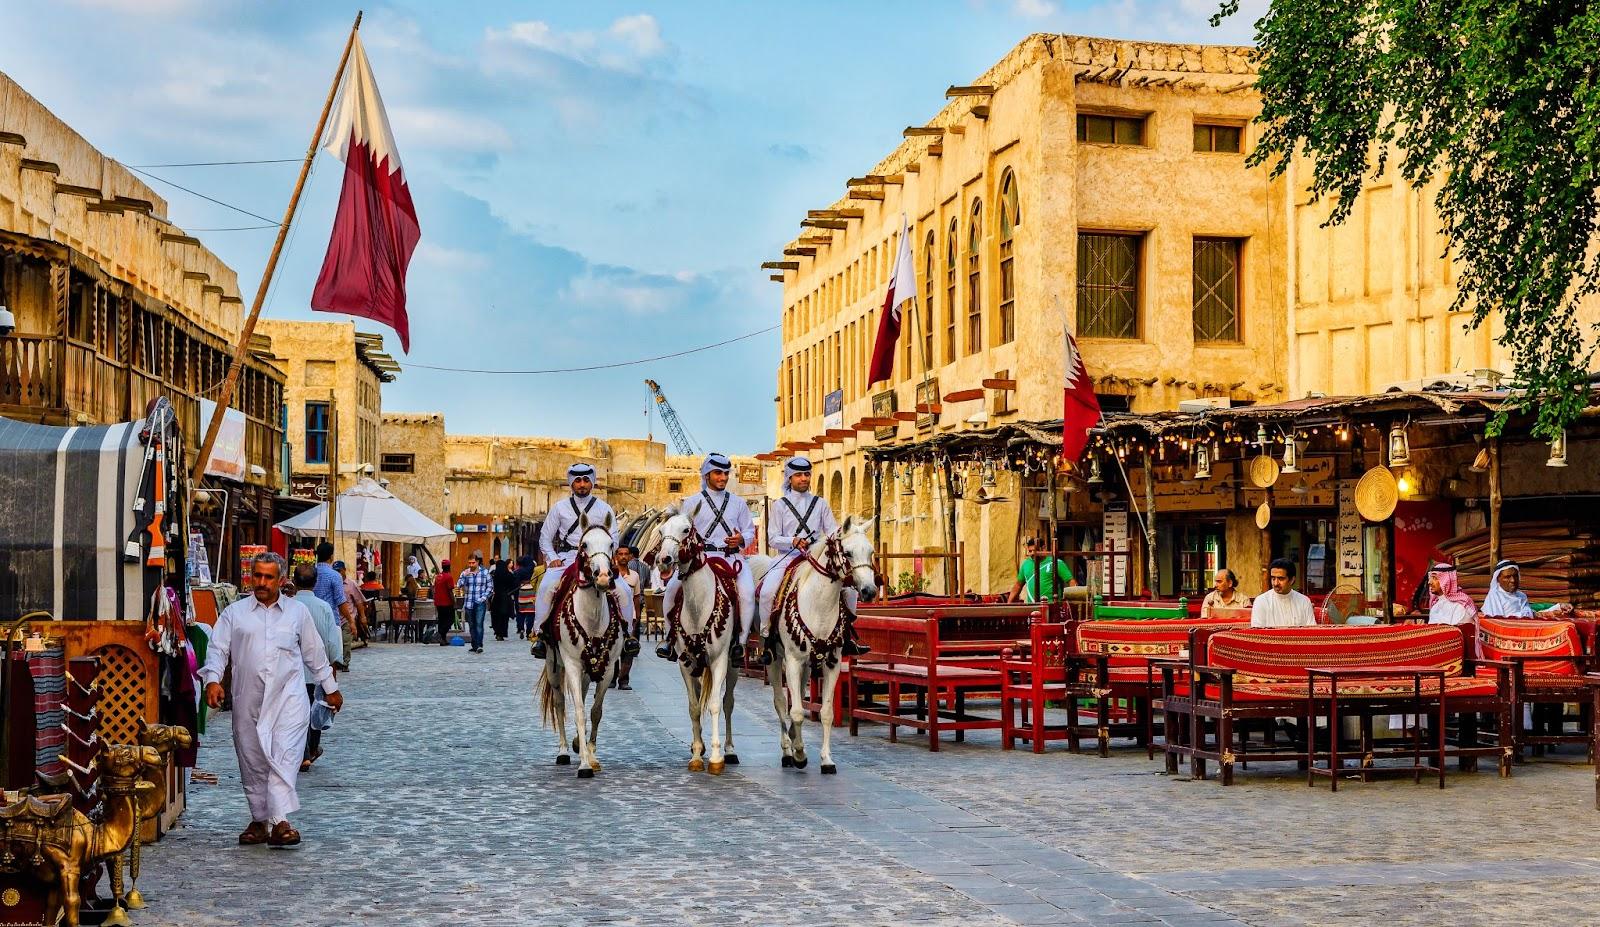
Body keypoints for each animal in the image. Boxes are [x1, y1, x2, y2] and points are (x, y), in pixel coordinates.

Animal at [537, 521, 624, 774]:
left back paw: (578, 742)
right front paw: (584, 764)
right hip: (555, 666)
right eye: (584, 544)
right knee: (559, 703)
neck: (592, 618)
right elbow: (578, 712)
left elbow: (595, 712)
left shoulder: (608, 669)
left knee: (583, 697)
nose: (603, 576)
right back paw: (564, 750)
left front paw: (591, 755)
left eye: (611, 544)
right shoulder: (573, 666)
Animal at [652, 509, 745, 774]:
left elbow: (714, 704)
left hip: (733, 666)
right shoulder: (685, 663)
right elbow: (694, 707)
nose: (663, 560)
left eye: (686, 530)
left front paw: (715, 757)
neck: (698, 606)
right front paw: (696, 753)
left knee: (728, 702)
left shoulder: (719, 661)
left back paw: (729, 750)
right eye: (661, 530)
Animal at [768, 515, 883, 774]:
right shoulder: (793, 661)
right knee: (780, 702)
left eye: (871, 552)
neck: (819, 604)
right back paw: (787, 751)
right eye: (848, 553)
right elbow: (796, 711)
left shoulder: (832, 663)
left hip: (807, 665)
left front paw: (826, 759)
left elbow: (826, 712)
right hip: (776, 659)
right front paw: (800, 754)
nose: (870, 591)